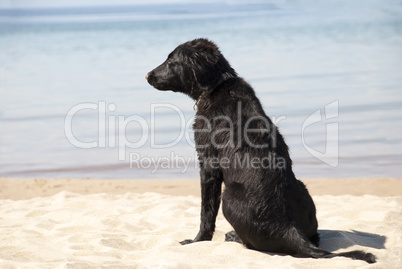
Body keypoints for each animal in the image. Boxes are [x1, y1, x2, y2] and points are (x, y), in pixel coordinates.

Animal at [145, 37, 376, 262]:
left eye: (171, 61)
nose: (147, 75)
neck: (217, 85)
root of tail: (289, 229)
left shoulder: (208, 165)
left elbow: (206, 212)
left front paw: (197, 241)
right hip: (303, 189)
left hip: (228, 197)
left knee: (250, 244)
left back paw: (233, 236)